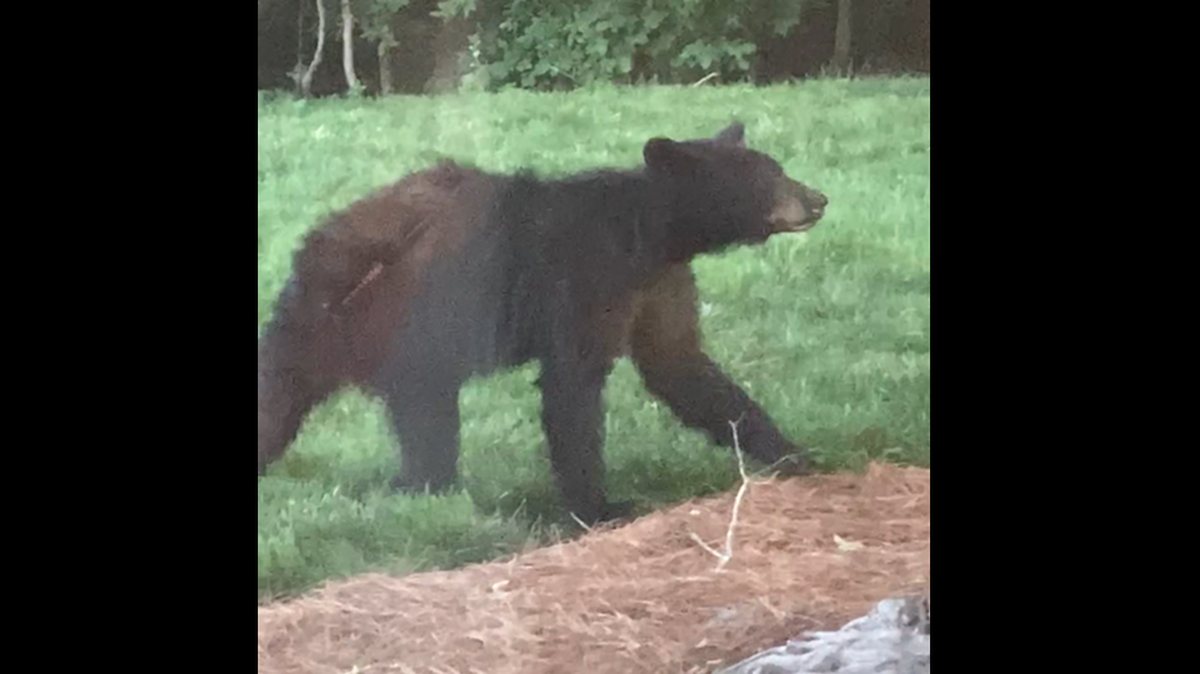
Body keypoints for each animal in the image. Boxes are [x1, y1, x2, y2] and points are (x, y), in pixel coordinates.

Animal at [258, 121, 829, 524]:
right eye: (768, 175)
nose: (819, 199)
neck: (652, 234)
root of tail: (313, 250)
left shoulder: (659, 285)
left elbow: (681, 365)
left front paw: (792, 453)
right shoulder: (587, 278)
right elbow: (572, 384)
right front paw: (600, 507)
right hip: (393, 320)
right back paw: (427, 486)